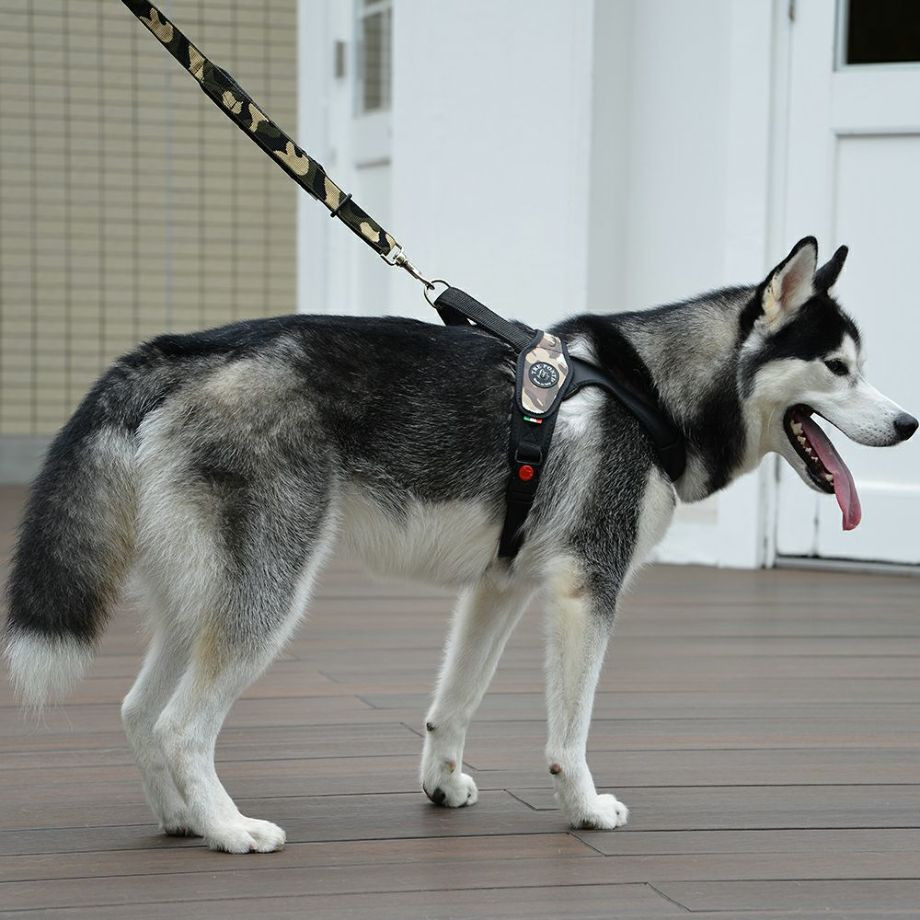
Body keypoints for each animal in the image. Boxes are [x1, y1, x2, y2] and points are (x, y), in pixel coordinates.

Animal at [3, 235, 916, 848]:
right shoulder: (587, 590)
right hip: (267, 595)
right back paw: (230, 829)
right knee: (180, 725)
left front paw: (439, 785)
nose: (908, 423)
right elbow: (569, 735)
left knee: (136, 710)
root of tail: (180, 351)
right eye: (838, 368)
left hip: (198, 597)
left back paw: (182, 819)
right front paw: (584, 808)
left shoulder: (501, 584)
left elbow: (456, 703)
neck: (650, 388)